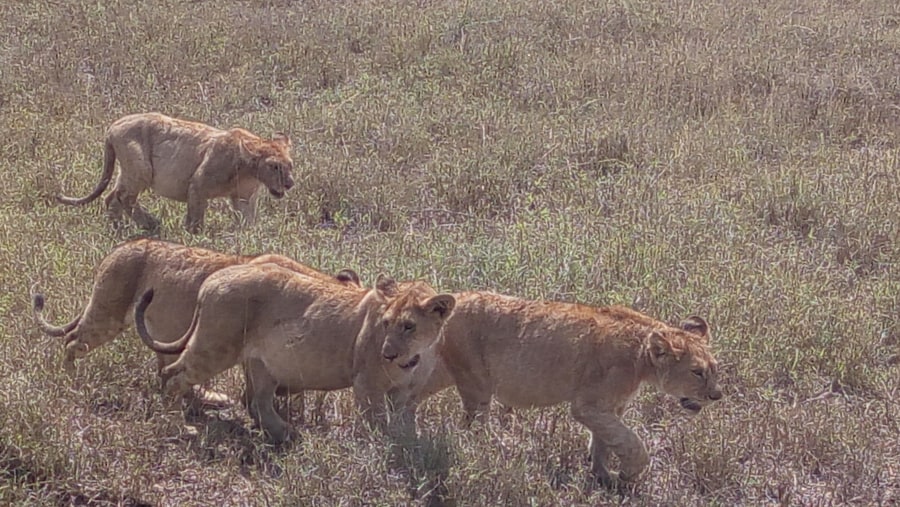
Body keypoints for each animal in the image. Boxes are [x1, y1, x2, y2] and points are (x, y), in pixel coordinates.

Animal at [56, 112, 294, 233]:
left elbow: (247, 221)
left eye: (290, 165)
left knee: (111, 197)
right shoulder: (198, 184)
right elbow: (196, 217)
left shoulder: (244, 197)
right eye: (274, 166)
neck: (249, 170)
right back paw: (148, 225)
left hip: (128, 171)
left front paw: (249, 239)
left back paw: (121, 228)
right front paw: (195, 238)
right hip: (140, 168)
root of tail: (112, 127)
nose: (290, 183)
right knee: (123, 197)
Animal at [136, 266, 454, 444]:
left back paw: (287, 434)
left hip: (261, 364)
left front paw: (410, 445)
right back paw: (178, 425)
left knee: (258, 402)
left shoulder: (406, 393)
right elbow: (376, 421)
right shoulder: (367, 384)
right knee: (172, 375)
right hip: (215, 347)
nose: (387, 354)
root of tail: (211, 280)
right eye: (386, 323)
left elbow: (403, 422)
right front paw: (383, 448)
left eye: (409, 326)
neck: (414, 358)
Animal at [412, 294, 720, 488]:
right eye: (697, 372)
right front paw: (628, 474)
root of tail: (455, 295)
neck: (642, 358)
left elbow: (605, 441)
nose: (716, 396)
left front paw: (603, 477)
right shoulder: (588, 405)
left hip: (439, 372)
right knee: (473, 428)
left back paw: (404, 432)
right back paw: (493, 452)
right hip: (476, 383)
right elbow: (630, 442)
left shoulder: (609, 407)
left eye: (714, 368)